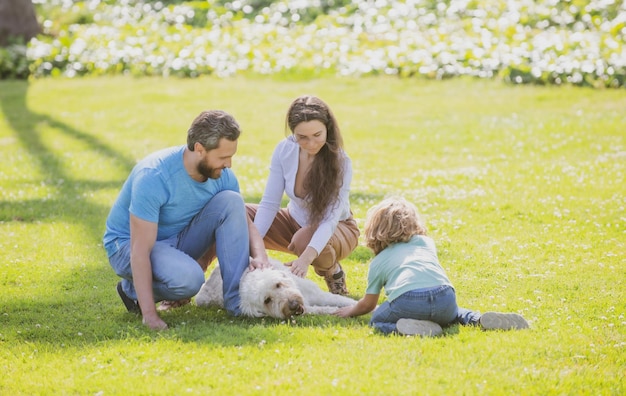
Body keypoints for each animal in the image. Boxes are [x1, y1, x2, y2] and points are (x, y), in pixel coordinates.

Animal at [194, 260, 356, 318]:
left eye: (278, 285)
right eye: (267, 300)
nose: (293, 305)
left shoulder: (318, 294)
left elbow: (341, 299)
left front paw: (354, 305)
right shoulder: (308, 307)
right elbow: (323, 309)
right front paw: (335, 310)